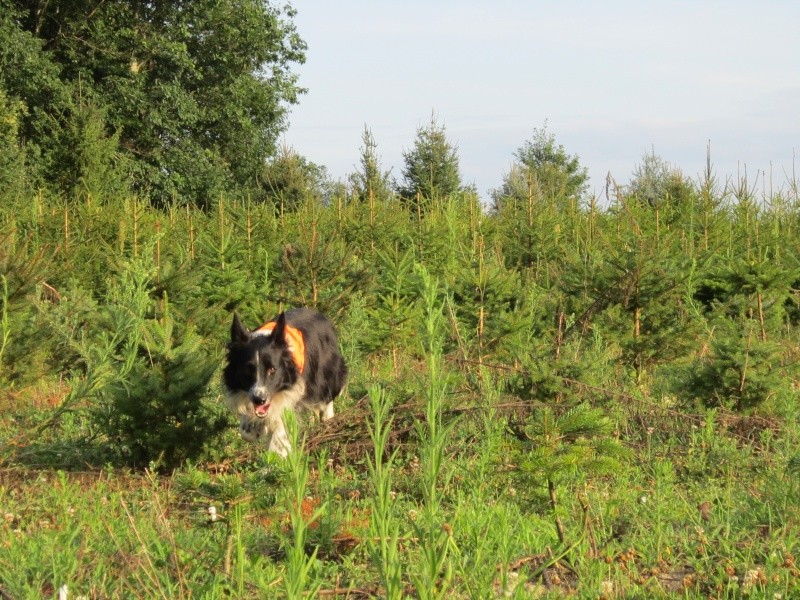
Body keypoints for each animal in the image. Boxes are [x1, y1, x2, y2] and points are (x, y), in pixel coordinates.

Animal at [225, 310, 350, 454]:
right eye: (247, 370)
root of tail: (322, 316)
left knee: (328, 394)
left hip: (327, 372)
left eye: (272, 369)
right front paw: (254, 429)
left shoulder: (293, 391)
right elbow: (246, 430)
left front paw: (277, 455)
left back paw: (327, 418)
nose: (259, 400)